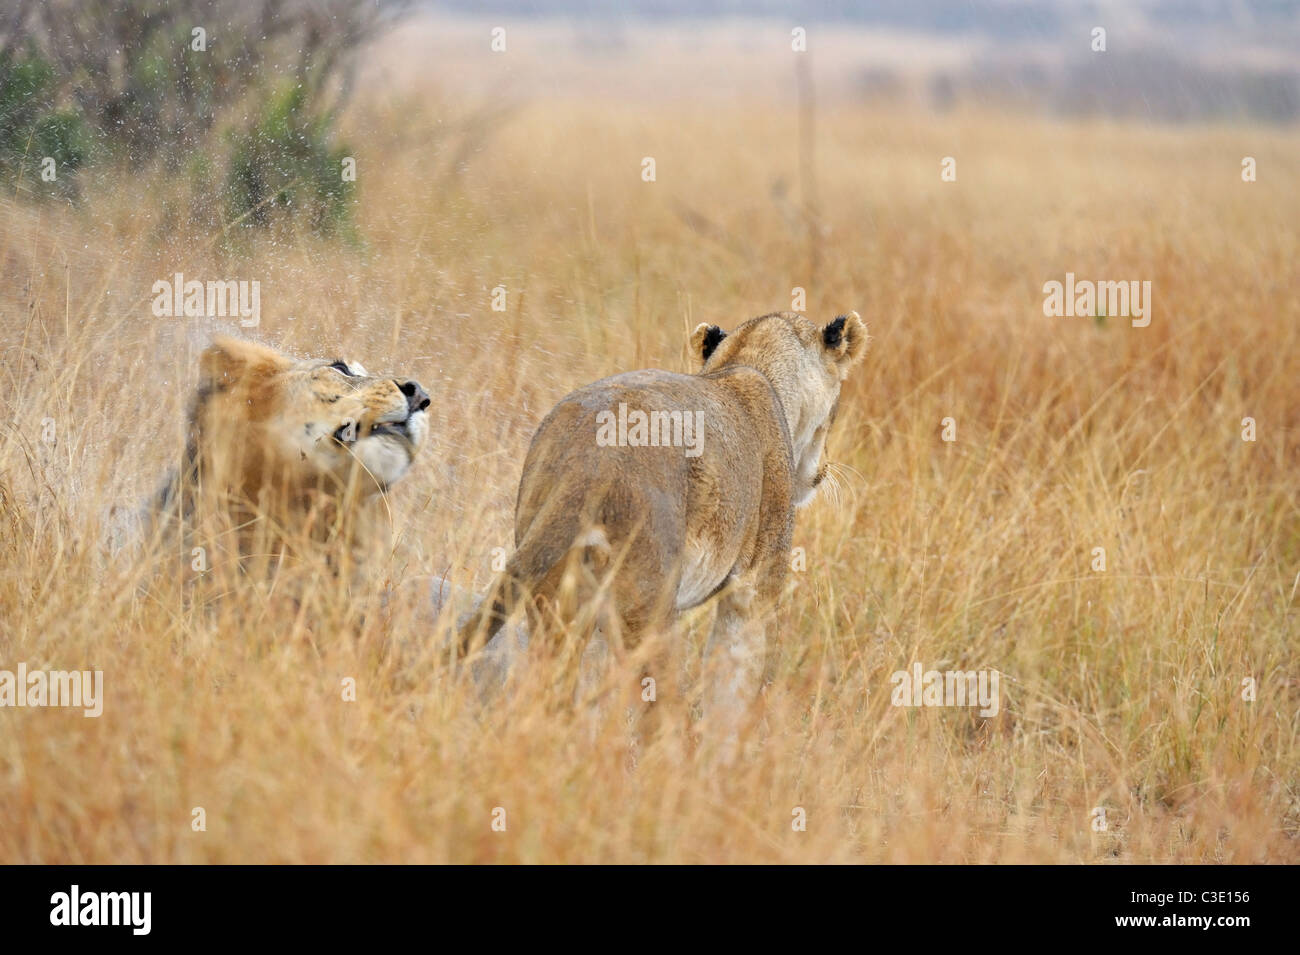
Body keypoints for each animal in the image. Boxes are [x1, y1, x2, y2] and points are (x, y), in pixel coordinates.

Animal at [458, 310, 867, 719]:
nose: (824, 468)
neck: (746, 363)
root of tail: (593, 459)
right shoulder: (754, 590)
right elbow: (732, 690)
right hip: (649, 604)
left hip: (557, 599)